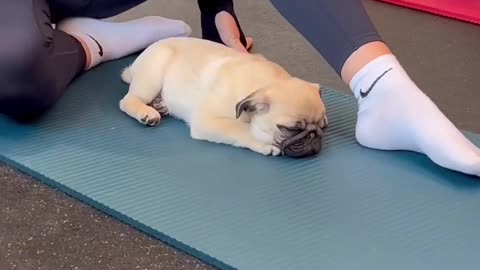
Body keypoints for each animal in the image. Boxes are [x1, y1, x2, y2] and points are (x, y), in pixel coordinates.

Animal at [120, 37, 330, 157]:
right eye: (289, 129)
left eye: (324, 127)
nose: (313, 136)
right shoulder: (208, 121)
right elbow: (241, 130)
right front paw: (263, 143)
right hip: (153, 74)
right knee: (128, 100)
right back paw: (147, 113)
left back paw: (160, 105)